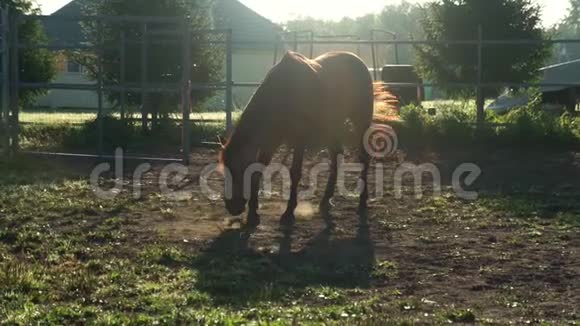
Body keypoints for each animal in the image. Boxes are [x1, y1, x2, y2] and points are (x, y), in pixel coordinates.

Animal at [220, 51, 378, 227]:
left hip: (360, 121)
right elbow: (258, 170)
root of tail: (358, 61)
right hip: (332, 126)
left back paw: (362, 200)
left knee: (364, 157)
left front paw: (289, 212)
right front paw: (253, 214)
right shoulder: (270, 141)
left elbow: (295, 173)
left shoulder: (299, 140)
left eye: (238, 170)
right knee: (337, 155)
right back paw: (326, 198)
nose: (232, 206)